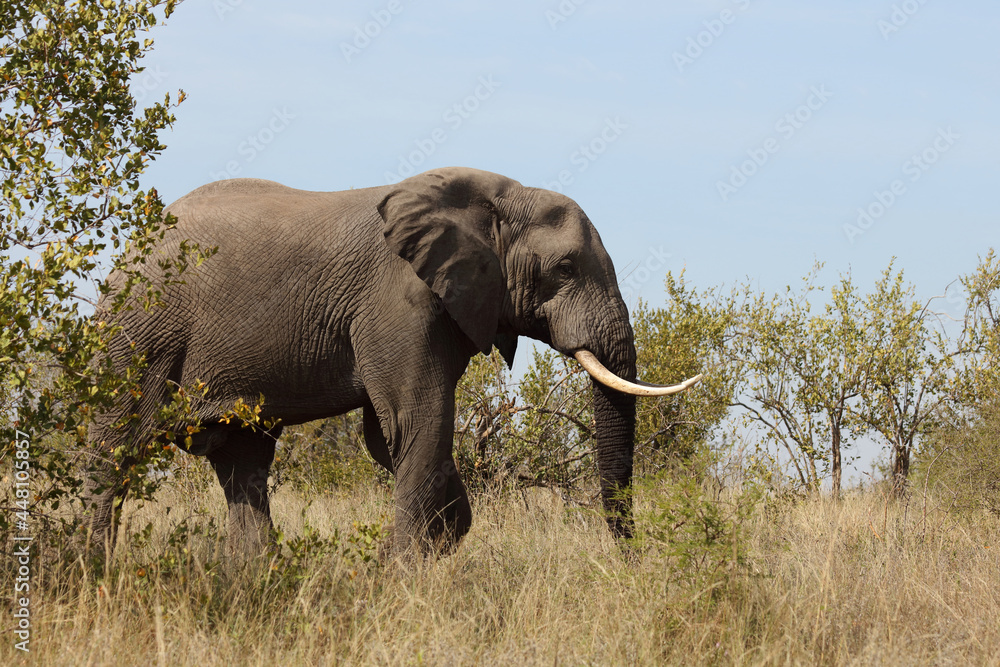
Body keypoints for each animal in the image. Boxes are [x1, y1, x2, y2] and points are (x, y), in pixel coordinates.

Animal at [82, 166, 701, 560]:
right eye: (566, 268)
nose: (631, 565)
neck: (497, 197)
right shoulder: (398, 301)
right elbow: (415, 426)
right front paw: (404, 579)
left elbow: (394, 440)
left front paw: (430, 543)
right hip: (140, 335)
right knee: (115, 452)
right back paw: (87, 575)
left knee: (244, 464)